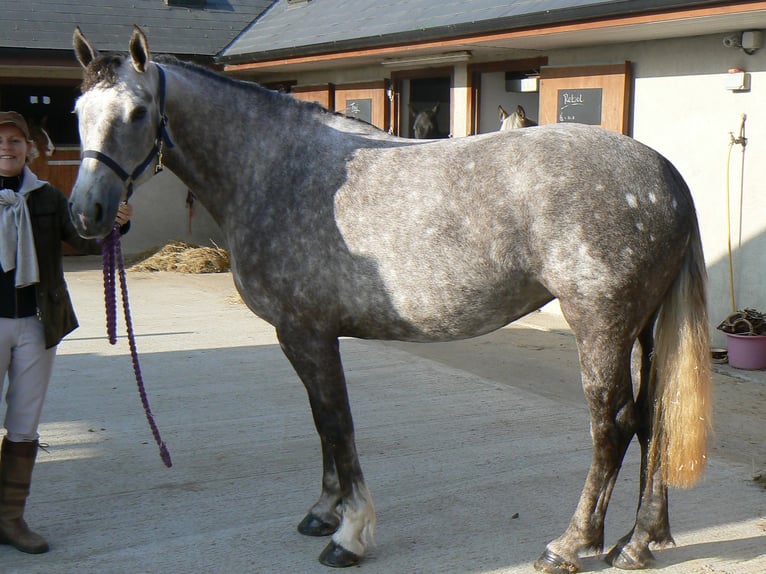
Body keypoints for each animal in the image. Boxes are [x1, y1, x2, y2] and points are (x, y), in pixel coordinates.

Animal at [68, 27, 712, 573]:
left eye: (138, 112)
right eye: (76, 114)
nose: (87, 212)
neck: (273, 168)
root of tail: (665, 175)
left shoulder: (307, 333)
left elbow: (337, 422)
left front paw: (349, 535)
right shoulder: (299, 337)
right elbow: (322, 423)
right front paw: (322, 512)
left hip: (601, 327)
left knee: (614, 425)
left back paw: (571, 544)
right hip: (644, 327)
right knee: (655, 419)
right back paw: (638, 543)